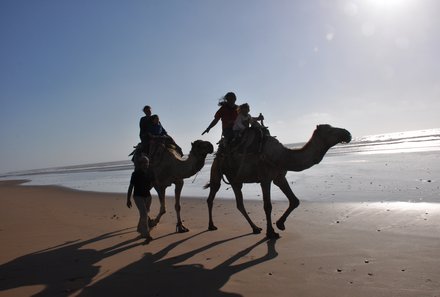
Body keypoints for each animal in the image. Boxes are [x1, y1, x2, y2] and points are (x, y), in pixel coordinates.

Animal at [205, 124, 350, 238]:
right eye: (330, 130)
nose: (347, 133)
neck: (282, 156)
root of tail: (218, 153)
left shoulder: (279, 177)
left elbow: (295, 201)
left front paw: (280, 224)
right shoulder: (265, 179)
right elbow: (267, 206)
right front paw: (271, 233)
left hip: (235, 179)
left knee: (237, 203)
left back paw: (254, 228)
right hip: (219, 171)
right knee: (216, 195)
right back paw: (213, 226)